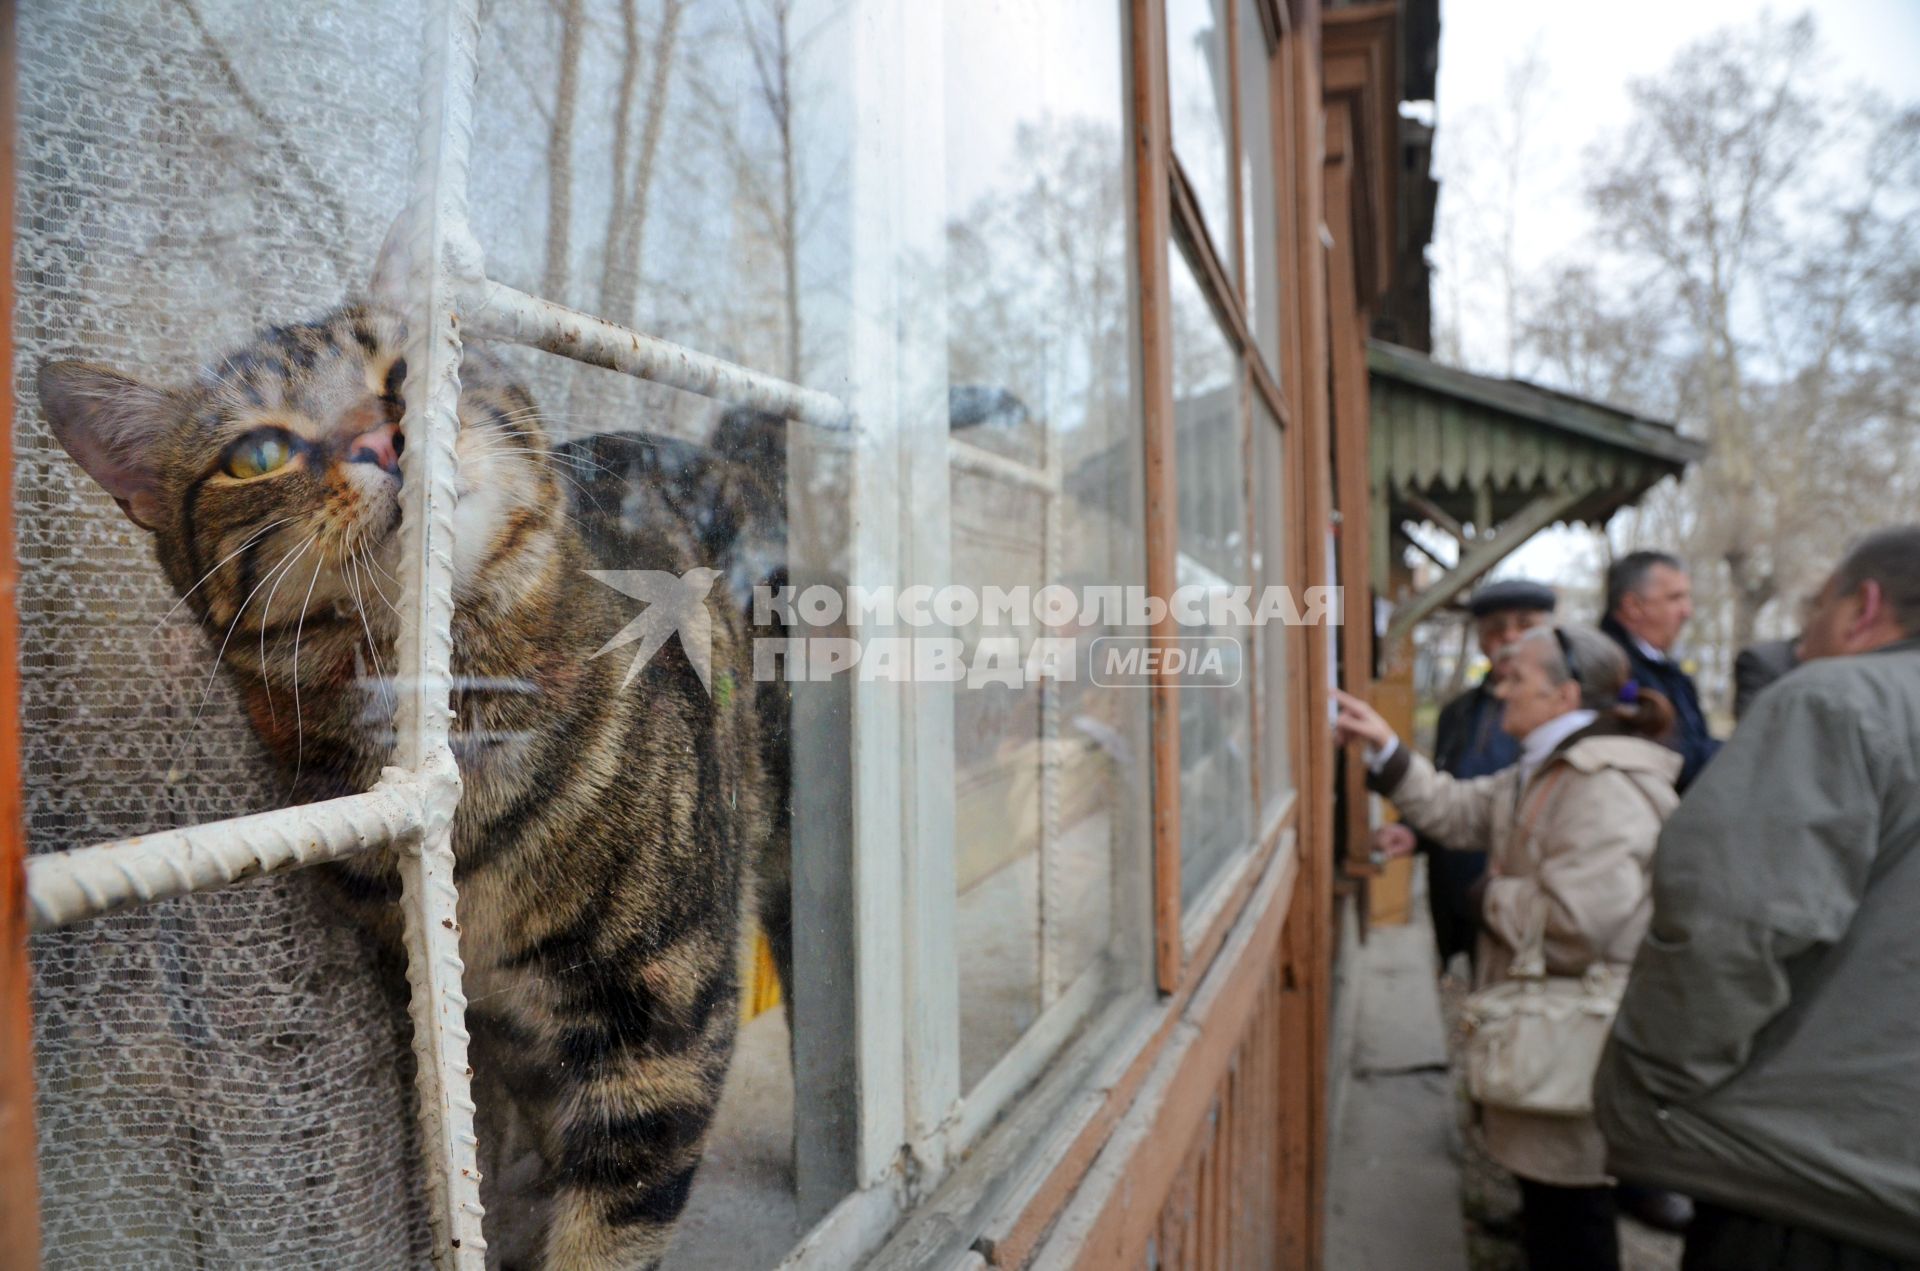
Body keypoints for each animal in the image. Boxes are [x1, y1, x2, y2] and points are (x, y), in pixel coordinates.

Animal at [35, 311, 779, 1271]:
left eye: (408, 370)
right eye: (257, 453)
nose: (382, 439)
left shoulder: (666, 1015)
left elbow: (609, 1227)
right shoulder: (489, 1017)